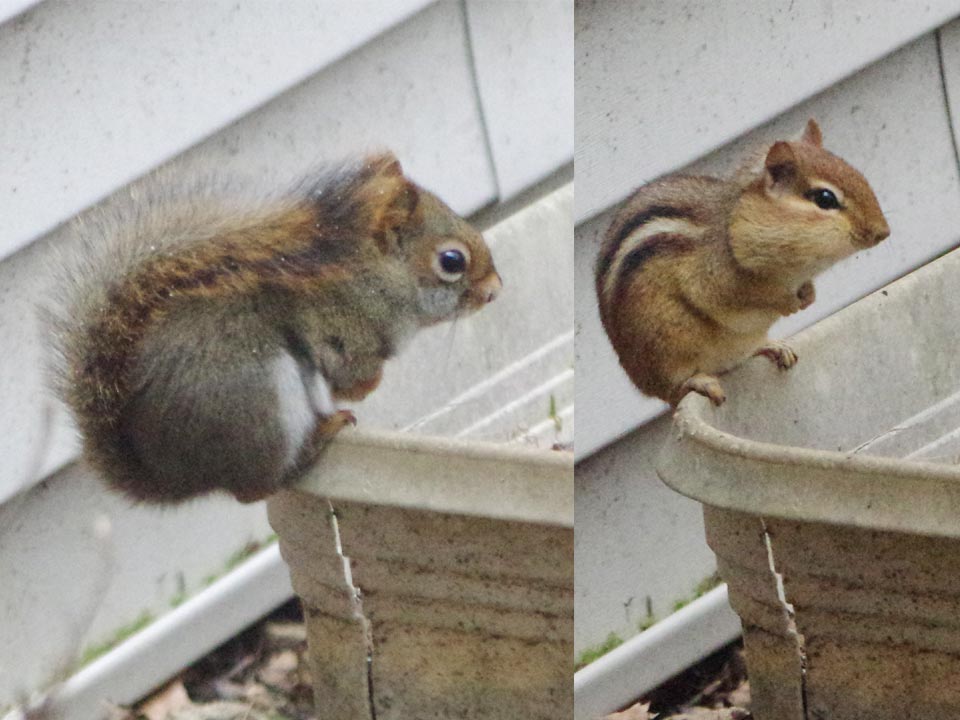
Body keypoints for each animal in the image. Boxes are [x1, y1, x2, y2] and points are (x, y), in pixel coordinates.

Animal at [49, 153, 502, 504]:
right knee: (257, 488)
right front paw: (365, 387)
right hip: (260, 402)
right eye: (451, 261)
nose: (496, 290)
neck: (376, 277)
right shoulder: (344, 330)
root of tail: (181, 477)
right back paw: (319, 437)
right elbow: (349, 375)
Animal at [595, 119, 889, 407]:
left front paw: (808, 295)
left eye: (859, 175)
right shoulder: (713, 277)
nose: (883, 232)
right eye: (825, 199)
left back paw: (773, 347)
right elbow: (745, 294)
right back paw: (699, 382)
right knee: (673, 390)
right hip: (665, 346)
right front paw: (788, 302)